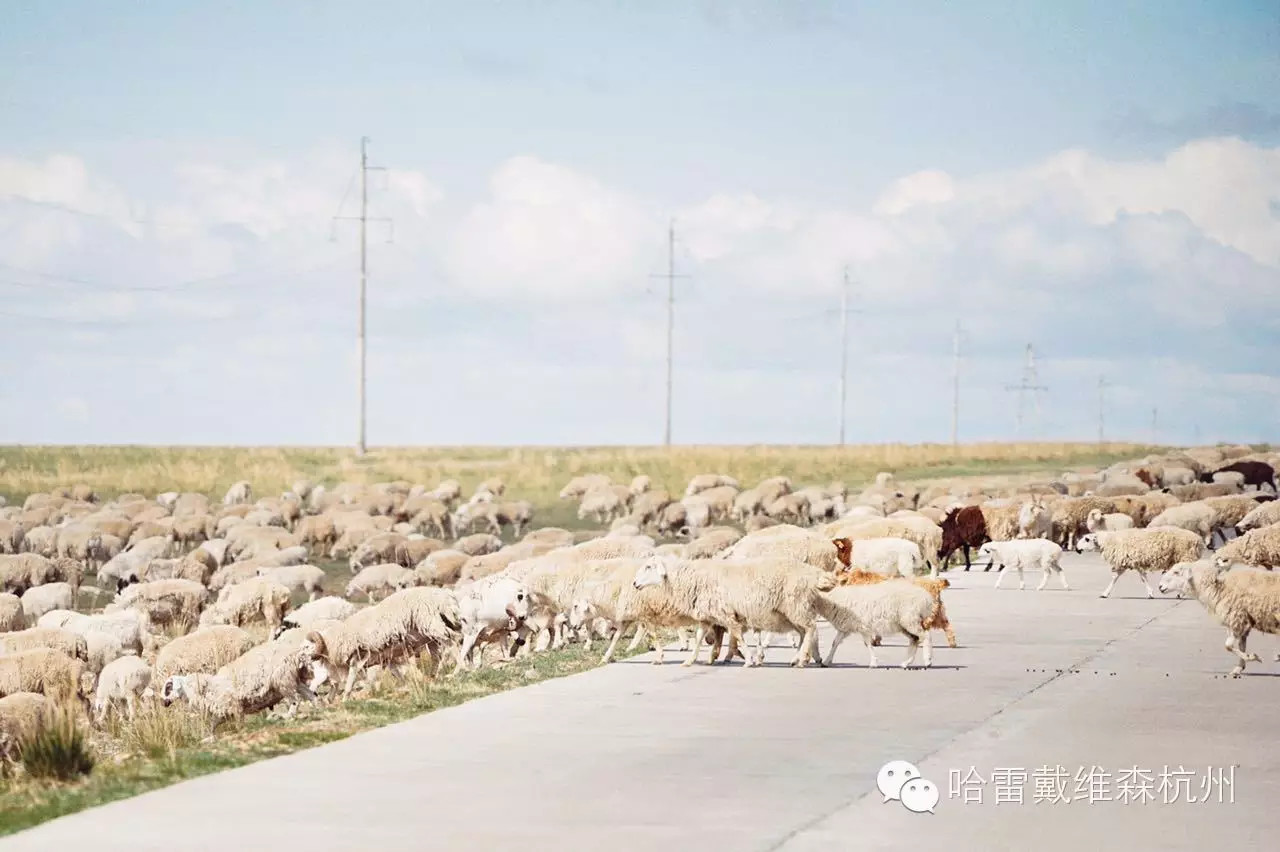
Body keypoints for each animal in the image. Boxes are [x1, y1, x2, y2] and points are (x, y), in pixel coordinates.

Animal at [1075, 524, 1203, 596]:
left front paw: (1105, 593)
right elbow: (1142, 577)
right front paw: (1150, 593)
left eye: (1086, 539)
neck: (1110, 541)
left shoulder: (1125, 561)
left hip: (1186, 555)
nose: (1076, 549)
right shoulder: (1134, 561)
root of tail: (1198, 539)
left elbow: (1115, 577)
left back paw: (1181, 594)